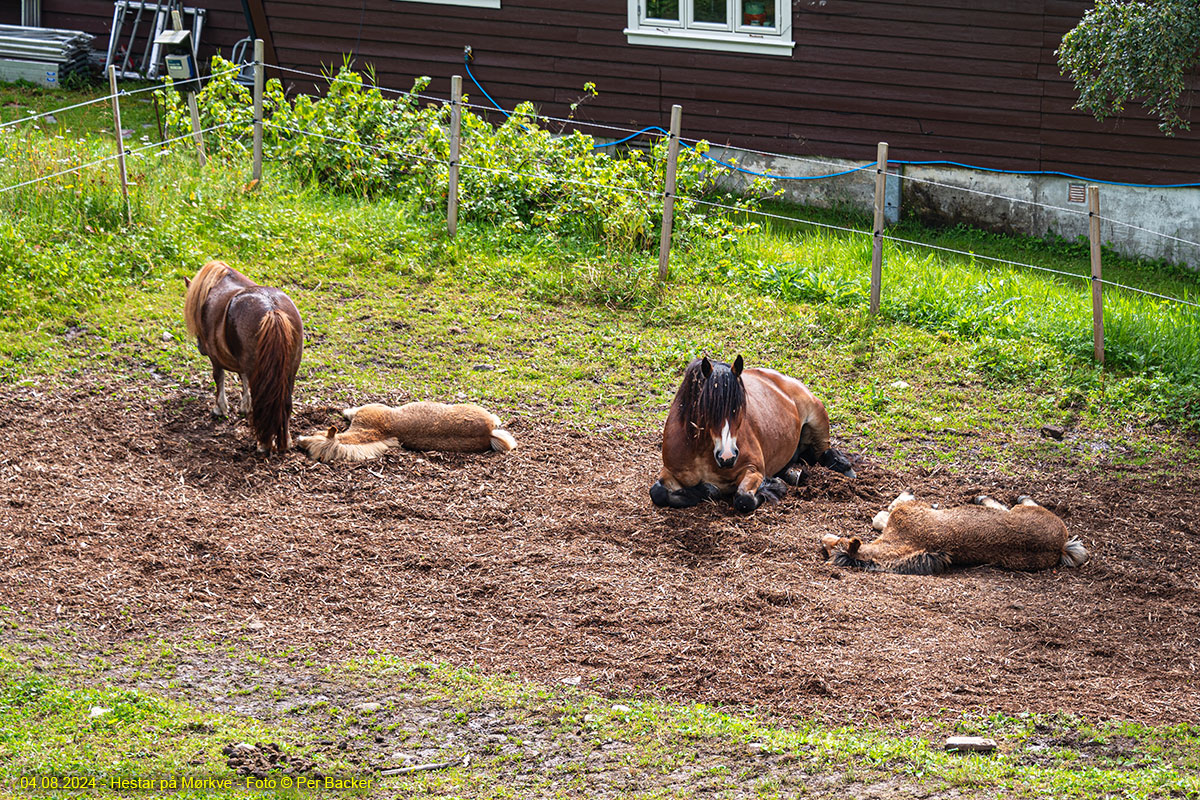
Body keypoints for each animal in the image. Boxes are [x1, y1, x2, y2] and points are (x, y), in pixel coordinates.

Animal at [184, 261, 304, 453]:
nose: (200, 347)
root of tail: (272, 310)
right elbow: (244, 379)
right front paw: (244, 406)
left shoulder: (215, 358)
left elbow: (219, 378)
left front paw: (220, 408)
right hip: (289, 372)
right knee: (285, 404)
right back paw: (285, 442)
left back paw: (264, 444)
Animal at [648, 357, 854, 513]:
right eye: (708, 408)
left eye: (740, 406)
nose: (727, 457)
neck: (700, 450)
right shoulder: (670, 471)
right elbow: (657, 493)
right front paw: (707, 489)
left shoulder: (753, 470)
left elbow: (744, 500)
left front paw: (773, 486)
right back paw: (794, 474)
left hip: (818, 420)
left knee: (825, 453)